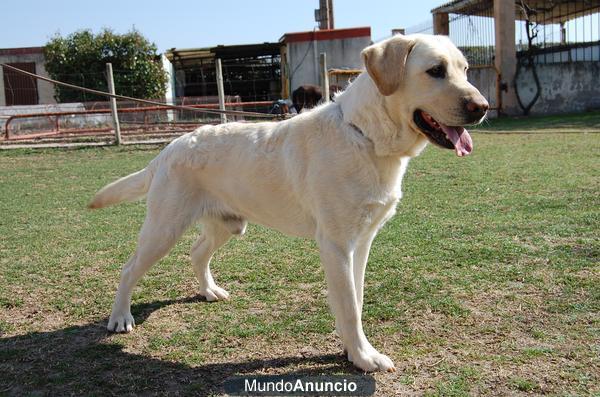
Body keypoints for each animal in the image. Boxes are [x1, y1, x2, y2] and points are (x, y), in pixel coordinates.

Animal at [91, 34, 490, 372]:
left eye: (465, 69)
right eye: (435, 70)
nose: (482, 107)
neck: (366, 136)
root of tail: (168, 148)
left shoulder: (362, 241)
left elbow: (356, 299)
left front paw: (352, 349)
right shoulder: (336, 244)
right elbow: (349, 306)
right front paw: (364, 357)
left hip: (227, 224)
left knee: (196, 253)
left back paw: (209, 291)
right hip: (163, 229)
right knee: (129, 268)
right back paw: (120, 317)